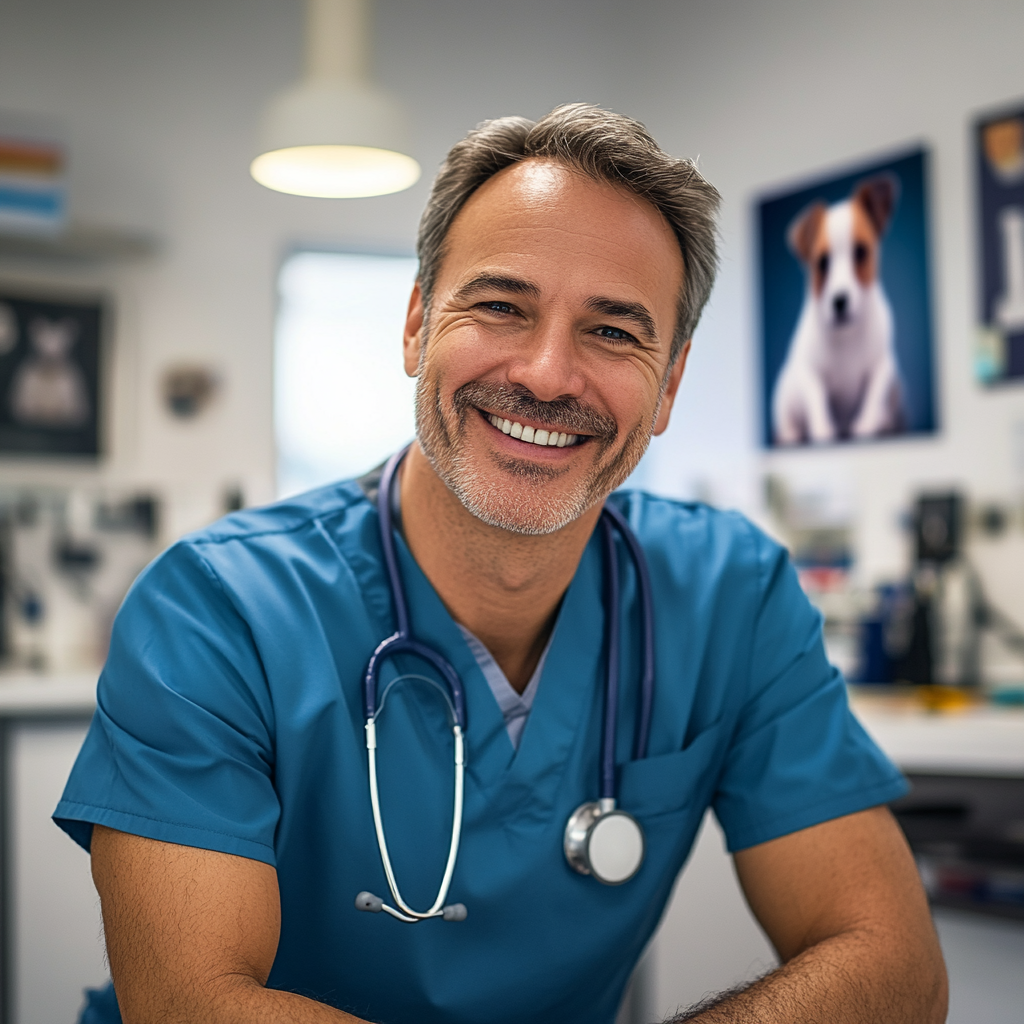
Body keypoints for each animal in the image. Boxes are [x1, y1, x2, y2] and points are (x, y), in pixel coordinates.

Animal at [770, 175, 909, 444]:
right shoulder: (809, 371)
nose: (840, 300)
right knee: (788, 418)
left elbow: (874, 394)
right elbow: (817, 398)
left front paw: (867, 424)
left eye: (860, 252)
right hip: (785, 397)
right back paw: (791, 433)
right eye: (822, 262)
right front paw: (823, 430)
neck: (846, 334)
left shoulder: (883, 365)